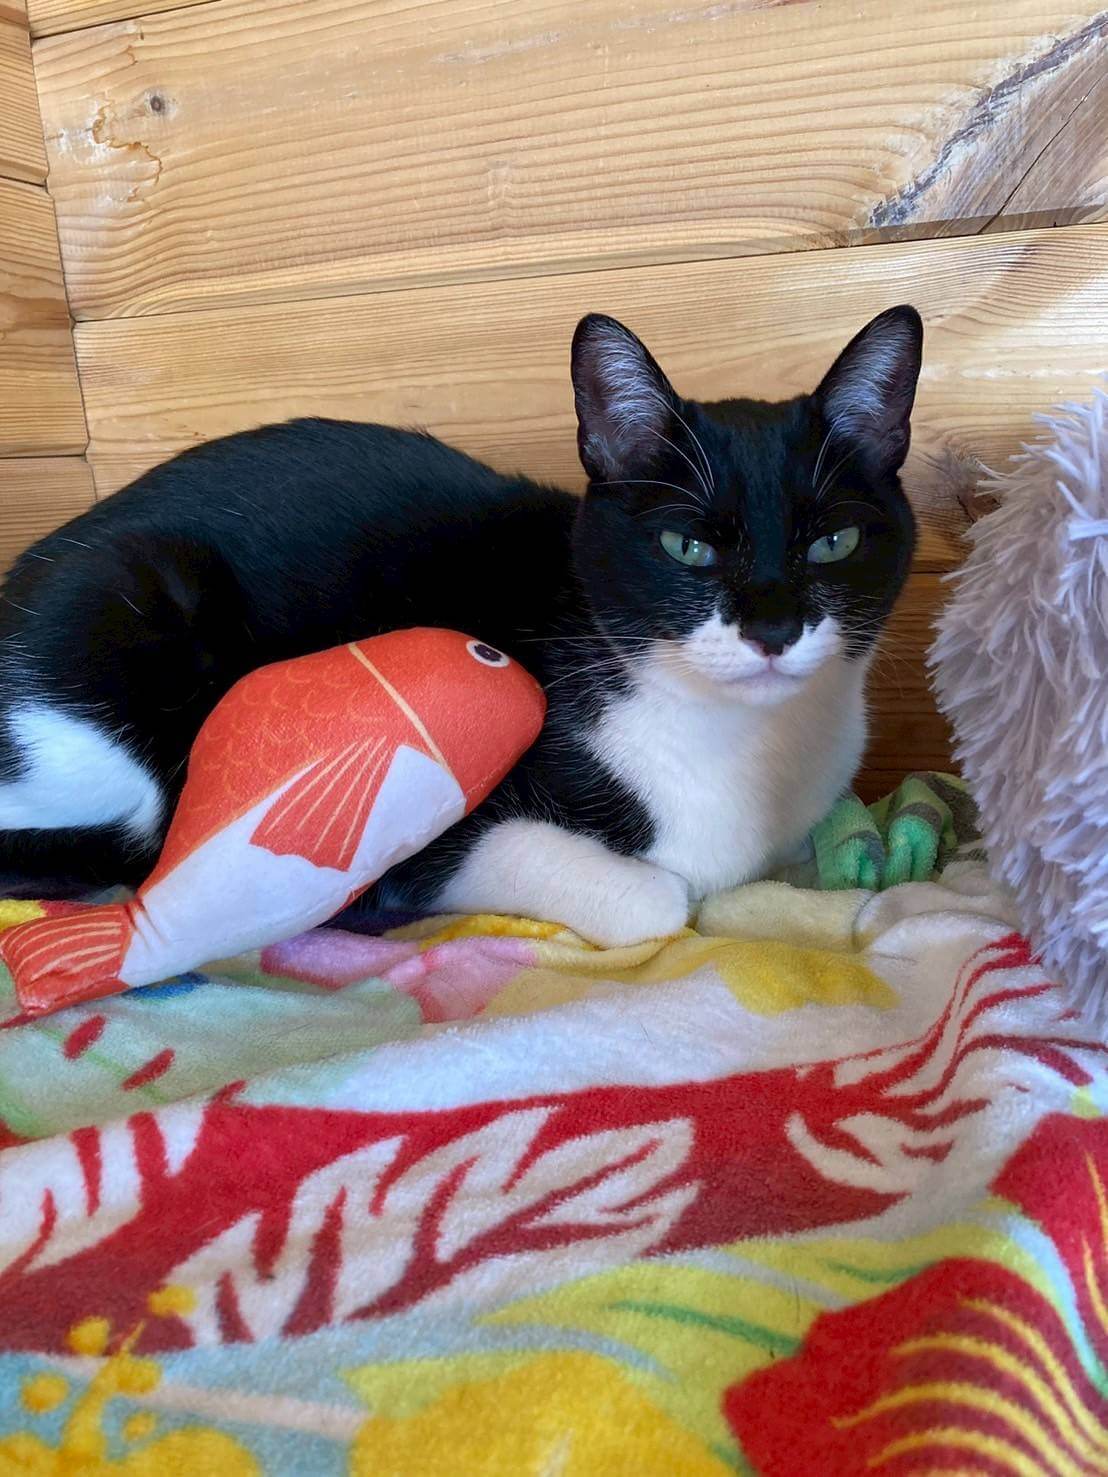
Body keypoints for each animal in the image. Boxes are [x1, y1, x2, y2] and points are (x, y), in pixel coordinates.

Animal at [0, 306, 921, 945]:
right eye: (686, 545)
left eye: (834, 541)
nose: (772, 626)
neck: (741, 743)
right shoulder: (428, 835)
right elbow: (657, 897)